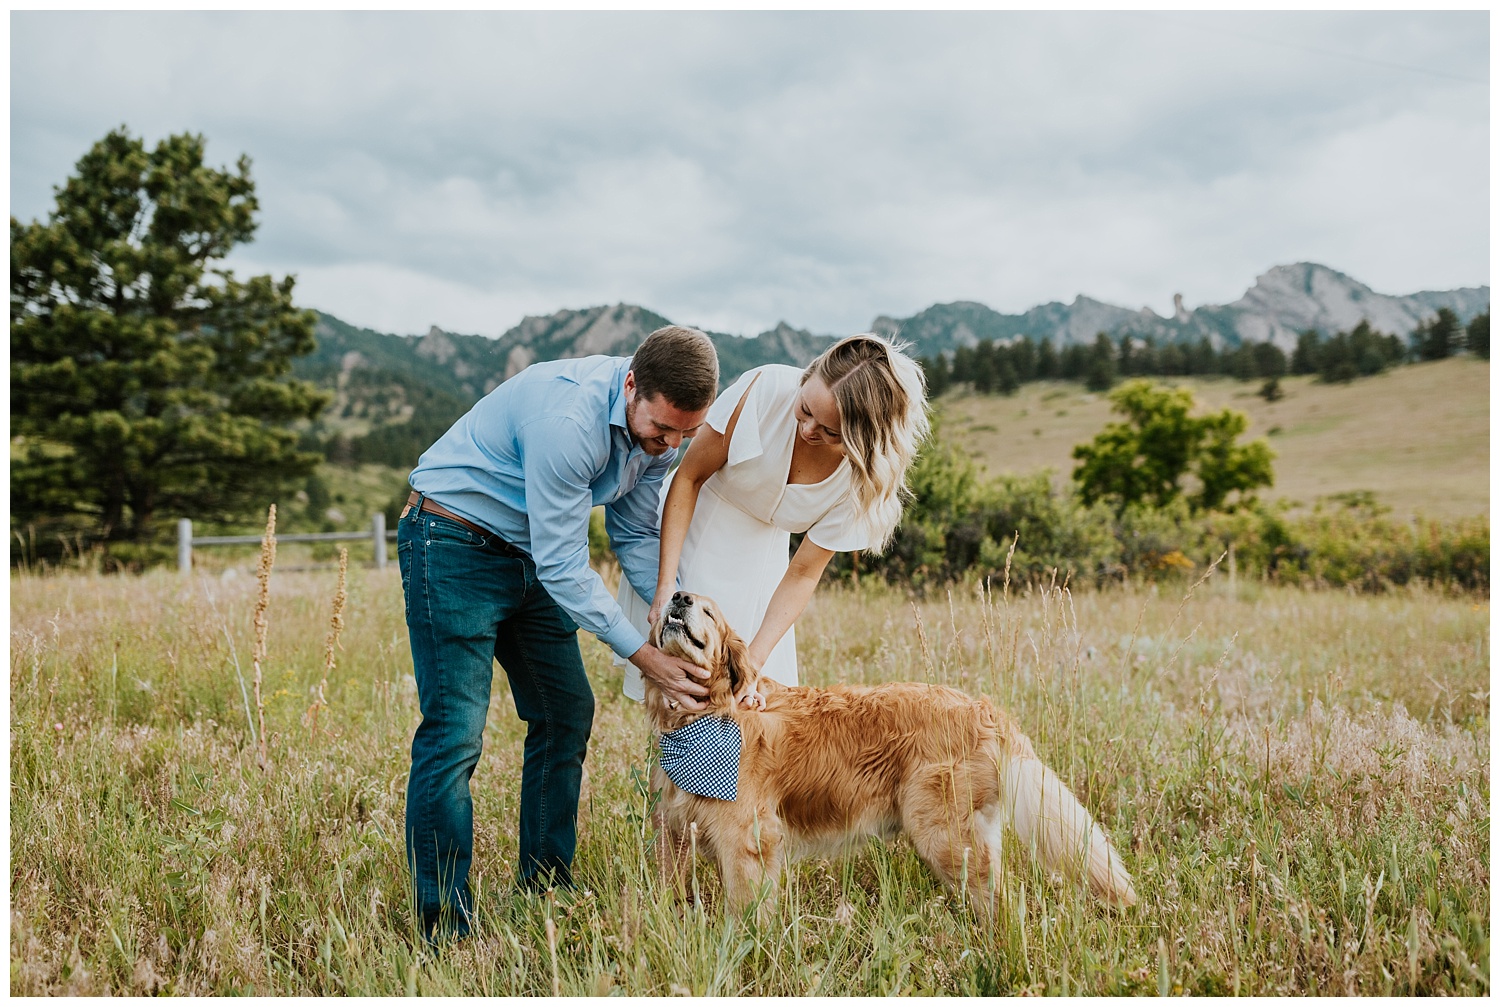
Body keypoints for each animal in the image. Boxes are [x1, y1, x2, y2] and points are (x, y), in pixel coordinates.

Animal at [645, 591, 1134, 924]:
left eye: (709, 612)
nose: (679, 596)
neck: (705, 713)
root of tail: (980, 707)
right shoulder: (675, 829)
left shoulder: (747, 840)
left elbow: (746, 912)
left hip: (941, 834)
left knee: (1000, 902)